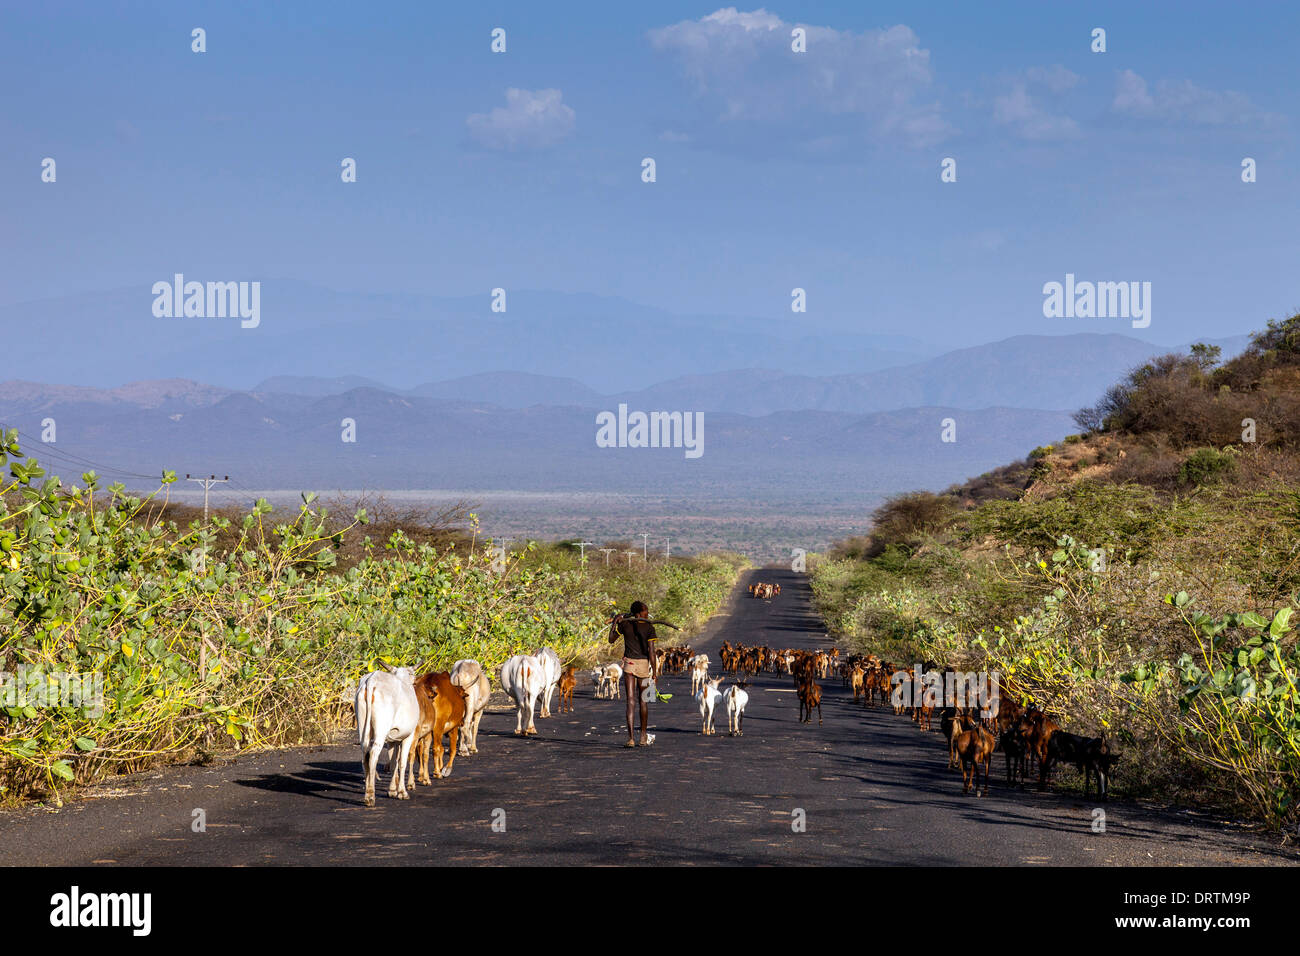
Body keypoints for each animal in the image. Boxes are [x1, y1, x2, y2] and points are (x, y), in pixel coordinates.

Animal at [353, 665, 418, 806]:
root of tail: (371, 680)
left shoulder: (392, 740)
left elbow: (393, 762)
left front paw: (392, 790)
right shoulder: (408, 736)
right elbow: (402, 762)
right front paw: (402, 792)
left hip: (363, 728)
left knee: (365, 754)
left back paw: (367, 790)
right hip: (381, 730)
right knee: (373, 754)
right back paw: (370, 796)